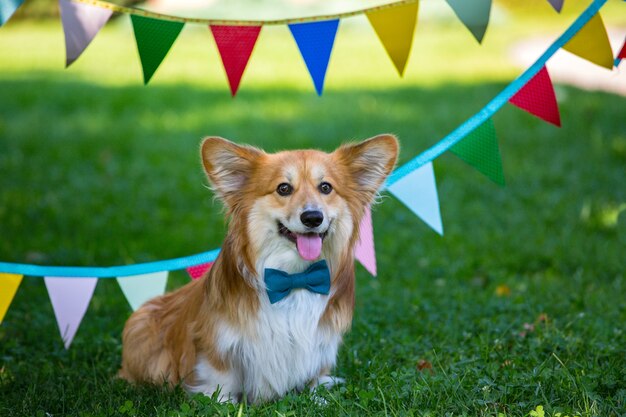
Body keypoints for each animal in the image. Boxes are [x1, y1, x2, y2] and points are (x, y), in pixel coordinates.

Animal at [119, 135, 398, 402]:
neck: (294, 276)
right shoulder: (217, 344)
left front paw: (318, 395)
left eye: (326, 187)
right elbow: (220, 380)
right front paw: (223, 404)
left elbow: (313, 376)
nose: (312, 217)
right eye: (283, 188)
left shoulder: (320, 344)